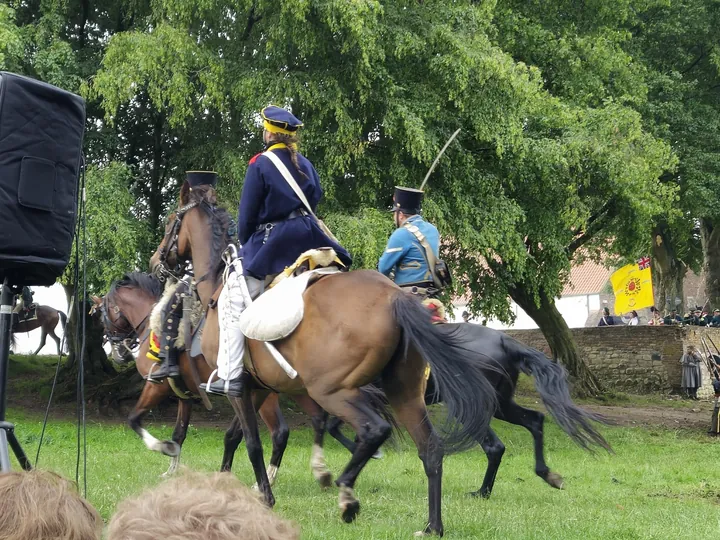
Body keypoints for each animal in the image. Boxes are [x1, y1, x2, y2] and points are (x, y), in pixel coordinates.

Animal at [94, 270, 336, 486]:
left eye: (104, 316)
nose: (119, 353)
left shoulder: (156, 387)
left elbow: (134, 419)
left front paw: (163, 448)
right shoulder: (184, 396)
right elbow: (179, 433)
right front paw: (172, 469)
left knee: (280, 431)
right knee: (317, 419)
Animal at [150, 186, 500, 536]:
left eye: (171, 223)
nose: (156, 261)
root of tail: (394, 297)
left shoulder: (239, 387)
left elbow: (252, 442)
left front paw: (265, 497)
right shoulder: (256, 387)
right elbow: (235, 436)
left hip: (332, 391)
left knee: (374, 429)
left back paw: (347, 495)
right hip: (405, 393)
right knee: (430, 448)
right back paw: (431, 526)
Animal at [326, 324, 608, 498]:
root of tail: (504, 341)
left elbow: (338, 426)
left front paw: (364, 456)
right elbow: (333, 426)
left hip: (469, 406)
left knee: (495, 446)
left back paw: (483, 492)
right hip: (501, 404)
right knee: (535, 420)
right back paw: (543, 475)